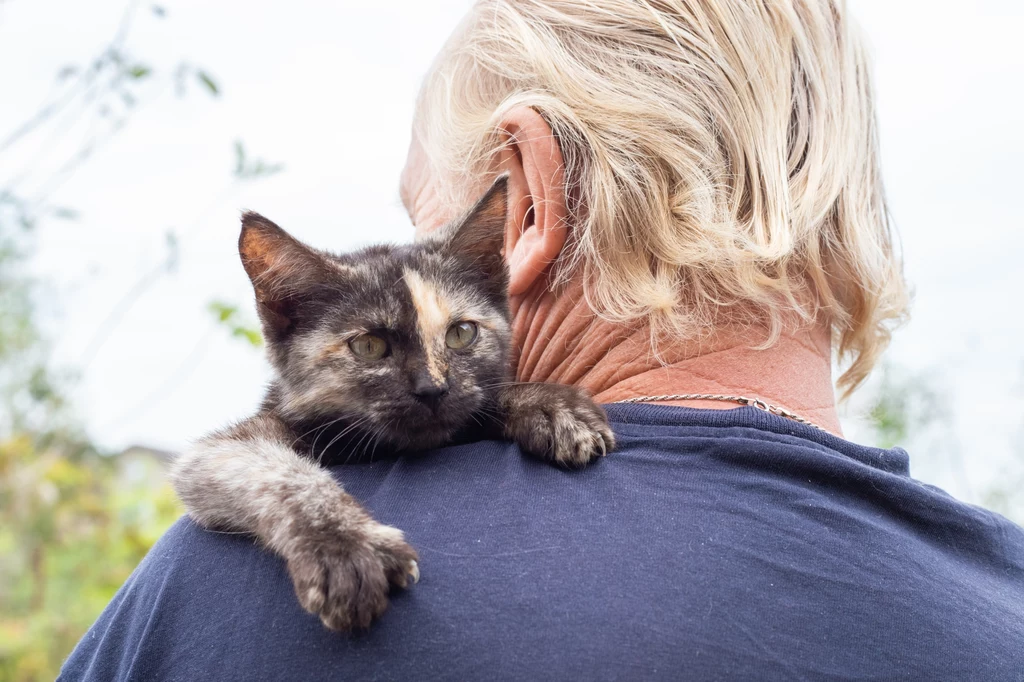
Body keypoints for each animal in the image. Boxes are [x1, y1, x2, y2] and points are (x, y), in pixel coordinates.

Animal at [169, 176, 614, 630]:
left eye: (461, 334)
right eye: (369, 346)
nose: (432, 389)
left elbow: (478, 404)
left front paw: (551, 406)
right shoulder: (218, 451)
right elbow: (277, 472)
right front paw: (345, 545)